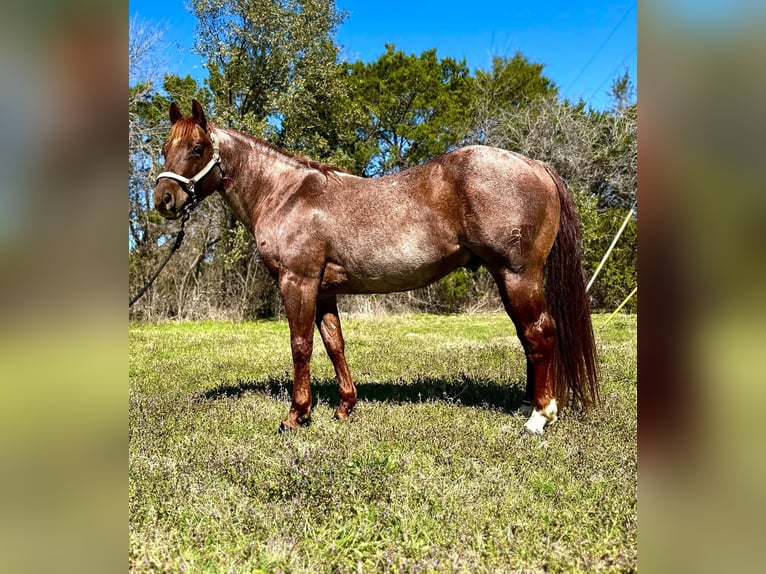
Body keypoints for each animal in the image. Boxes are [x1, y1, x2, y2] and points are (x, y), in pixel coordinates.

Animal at [154, 101, 600, 436]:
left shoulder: (298, 281)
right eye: (164, 148)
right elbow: (334, 344)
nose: (164, 199)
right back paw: (528, 404)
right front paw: (344, 407)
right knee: (529, 337)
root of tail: (536, 165)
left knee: (539, 333)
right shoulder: (324, 290)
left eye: (197, 148)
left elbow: (301, 346)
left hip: (516, 274)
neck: (285, 194)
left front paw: (296, 415)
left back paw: (539, 416)